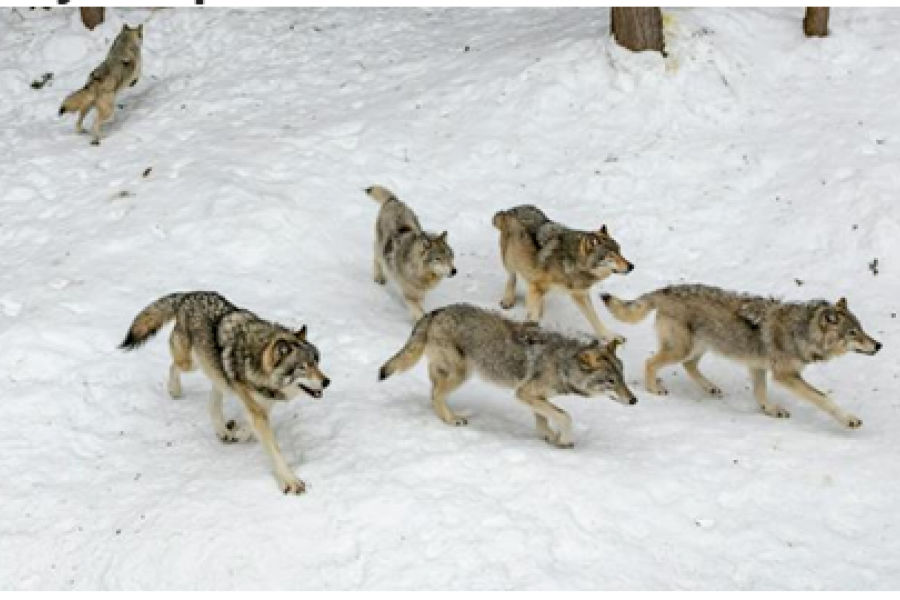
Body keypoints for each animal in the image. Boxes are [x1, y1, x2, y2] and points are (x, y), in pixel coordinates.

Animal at [120, 291, 330, 494]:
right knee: (174, 366)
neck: (256, 363)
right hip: (191, 364)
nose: (327, 382)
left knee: (212, 401)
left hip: (218, 375)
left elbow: (250, 427)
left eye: (316, 362)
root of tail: (187, 295)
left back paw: (223, 431)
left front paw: (240, 434)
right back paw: (175, 390)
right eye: (303, 368)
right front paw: (290, 482)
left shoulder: (262, 404)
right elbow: (274, 450)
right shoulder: (256, 408)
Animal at [366, 185, 457, 319]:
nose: (454, 271)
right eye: (438, 259)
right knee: (377, 258)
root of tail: (394, 201)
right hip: (380, 247)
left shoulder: (420, 294)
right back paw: (379, 277)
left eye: (450, 257)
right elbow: (419, 312)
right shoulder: (410, 296)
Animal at [379, 303, 636, 447]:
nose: (634, 400)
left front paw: (549, 436)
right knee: (436, 394)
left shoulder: (533, 396)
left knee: (433, 392)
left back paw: (447, 415)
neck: (563, 364)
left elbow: (544, 417)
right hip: (462, 374)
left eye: (623, 378)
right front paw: (564, 439)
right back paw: (452, 419)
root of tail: (436, 311)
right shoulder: (523, 393)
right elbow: (565, 416)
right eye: (611, 381)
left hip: (452, 372)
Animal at [493, 205, 633, 343]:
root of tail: (511, 209)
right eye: (612, 255)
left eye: (620, 251)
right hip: (510, 259)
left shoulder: (580, 293)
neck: (572, 262)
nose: (632, 266)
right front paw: (530, 330)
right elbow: (533, 316)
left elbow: (594, 318)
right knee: (512, 276)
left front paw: (610, 336)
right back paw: (508, 299)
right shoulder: (537, 286)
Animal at [602, 284, 882, 428]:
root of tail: (666, 289)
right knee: (651, 362)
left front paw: (770, 410)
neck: (801, 331)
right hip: (683, 349)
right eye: (853, 333)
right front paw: (849, 419)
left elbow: (760, 393)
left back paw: (710, 388)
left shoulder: (758, 367)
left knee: (689, 366)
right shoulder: (785, 376)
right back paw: (654, 389)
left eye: (862, 329)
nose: (879, 345)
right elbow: (823, 398)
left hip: (699, 348)